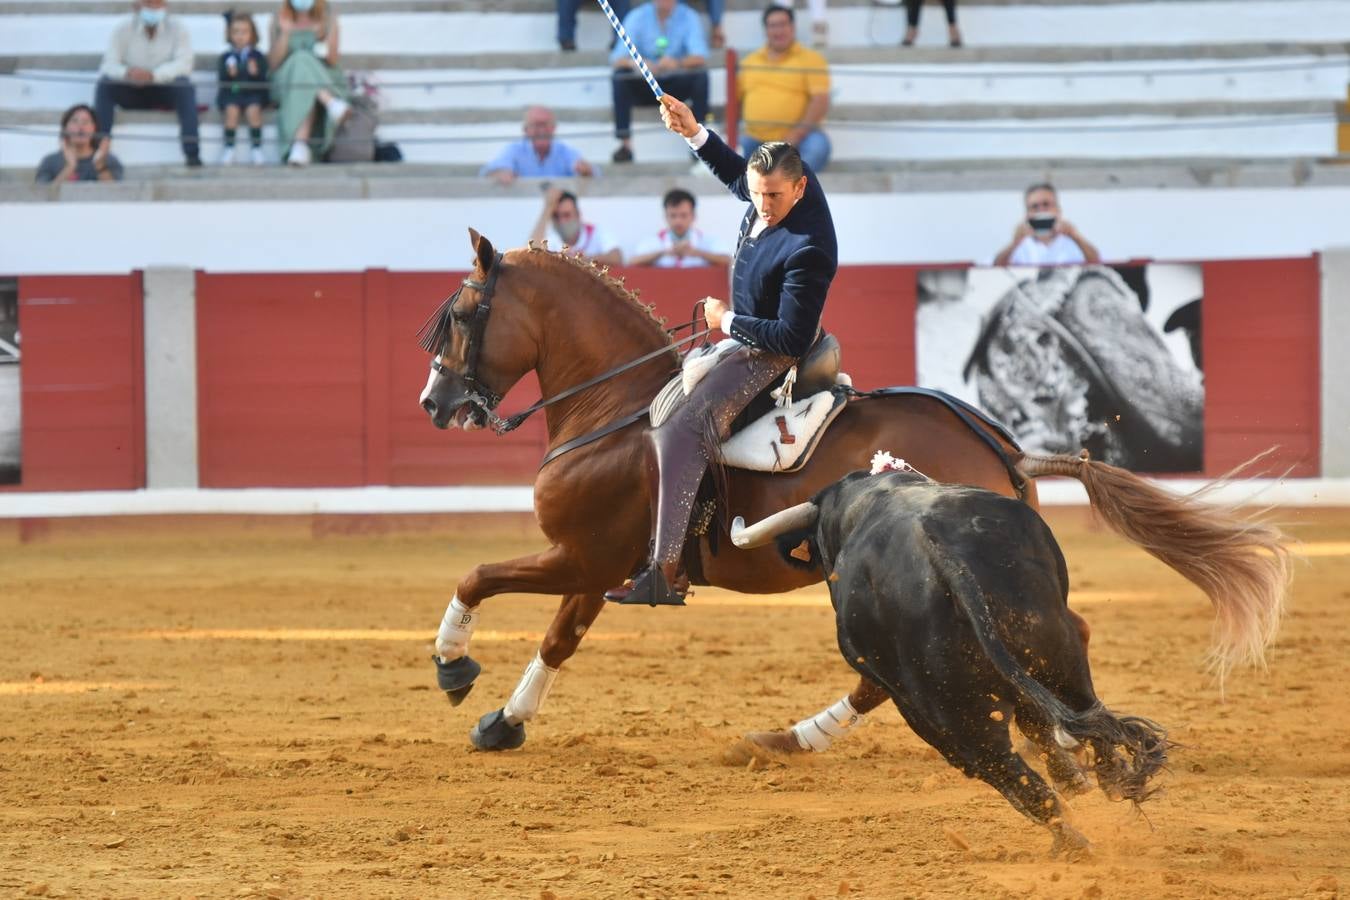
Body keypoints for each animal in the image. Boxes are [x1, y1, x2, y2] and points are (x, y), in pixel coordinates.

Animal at [418, 232, 1285, 755]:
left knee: (921, 664)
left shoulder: (581, 555)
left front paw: (454, 668)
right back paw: (798, 737)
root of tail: (1003, 451)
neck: (618, 408)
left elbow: (476, 578)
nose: (433, 403)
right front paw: (504, 722)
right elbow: (558, 638)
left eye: (463, 312)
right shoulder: (598, 564)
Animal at [734, 469, 1166, 858]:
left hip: (940, 711)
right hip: (1053, 648)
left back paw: (1080, 828)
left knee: (1006, 765)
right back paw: (1100, 800)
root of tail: (942, 555)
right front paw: (1074, 778)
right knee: (1075, 718)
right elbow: (1039, 721)